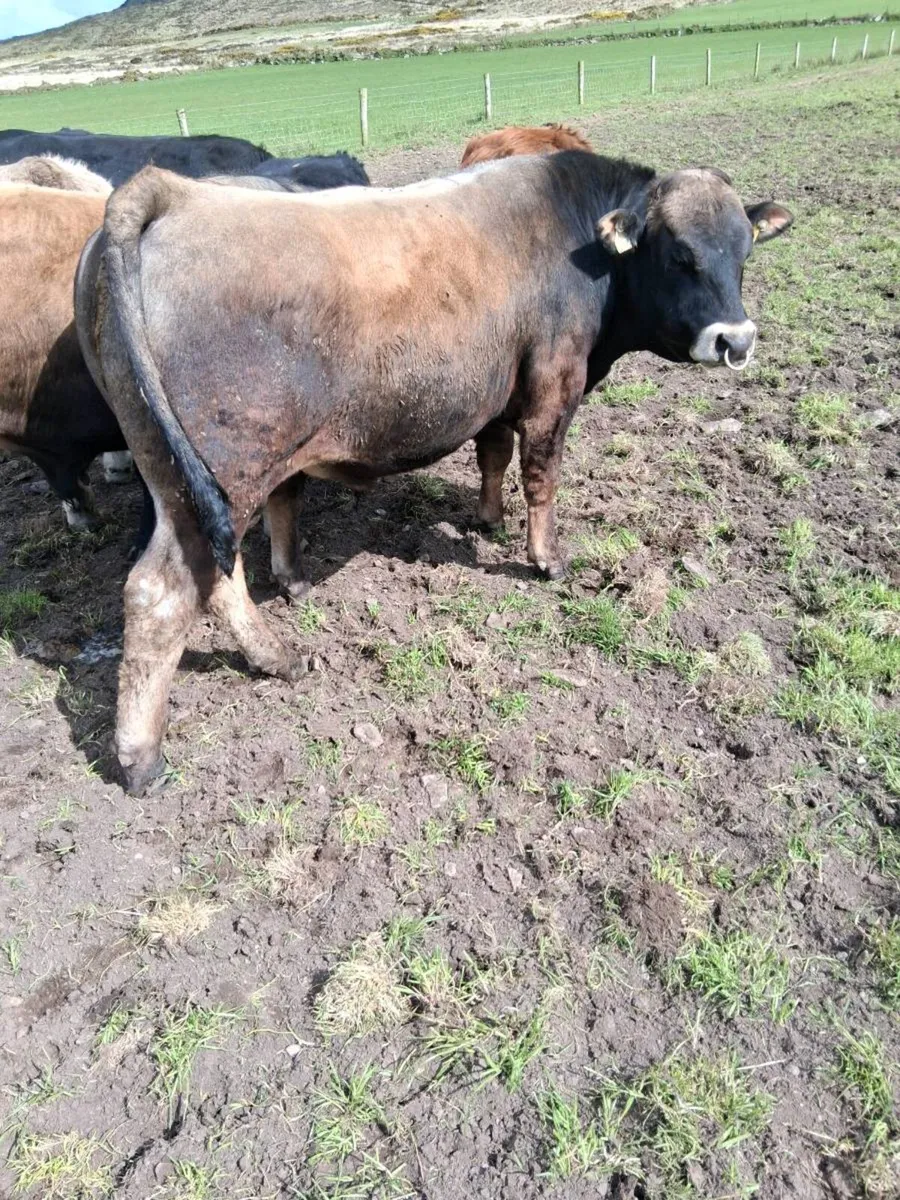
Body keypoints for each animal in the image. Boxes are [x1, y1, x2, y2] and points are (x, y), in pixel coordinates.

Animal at [75, 153, 792, 792]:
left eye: (745, 251)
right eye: (679, 255)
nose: (736, 340)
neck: (578, 235)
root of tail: (170, 191)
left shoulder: (499, 394)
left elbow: (494, 456)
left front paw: (488, 520)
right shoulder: (553, 385)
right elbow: (541, 472)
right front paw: (546, 559)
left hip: (181, 478)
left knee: (223, 575)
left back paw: (281, 637)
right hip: (223, 471)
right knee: (163, 591)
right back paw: (143, 757)